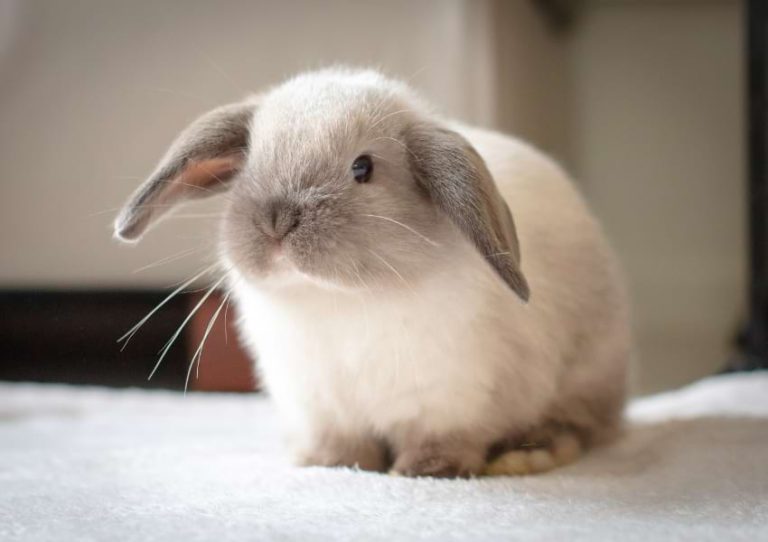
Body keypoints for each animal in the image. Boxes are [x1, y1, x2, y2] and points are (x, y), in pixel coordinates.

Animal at [115, 68, 631, 478]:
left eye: (362, 168)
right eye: (250, 165)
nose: (277, 220)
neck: (336, 298)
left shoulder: (448, 401)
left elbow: (442, 440)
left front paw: (425, 472)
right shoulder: (321, 406)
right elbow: (341, 445)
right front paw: (332, 466)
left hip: (585, 376)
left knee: (580, 427)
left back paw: (525, 456)